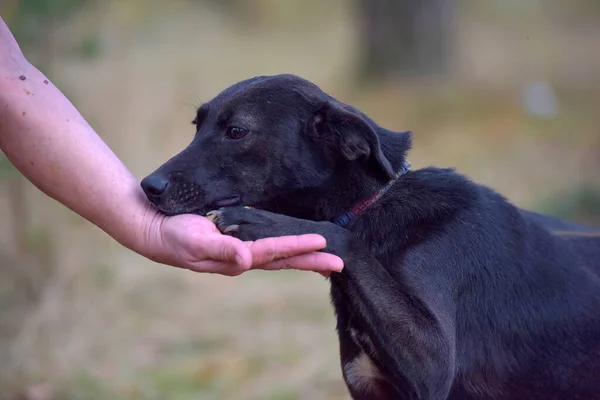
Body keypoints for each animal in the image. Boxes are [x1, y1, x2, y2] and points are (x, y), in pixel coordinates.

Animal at [141, 73, 600, 398]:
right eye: (196, 125)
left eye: (236, 131)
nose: (148, 185)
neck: (374, 208)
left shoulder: (433, 363)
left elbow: (343, 240)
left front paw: (263, 223)